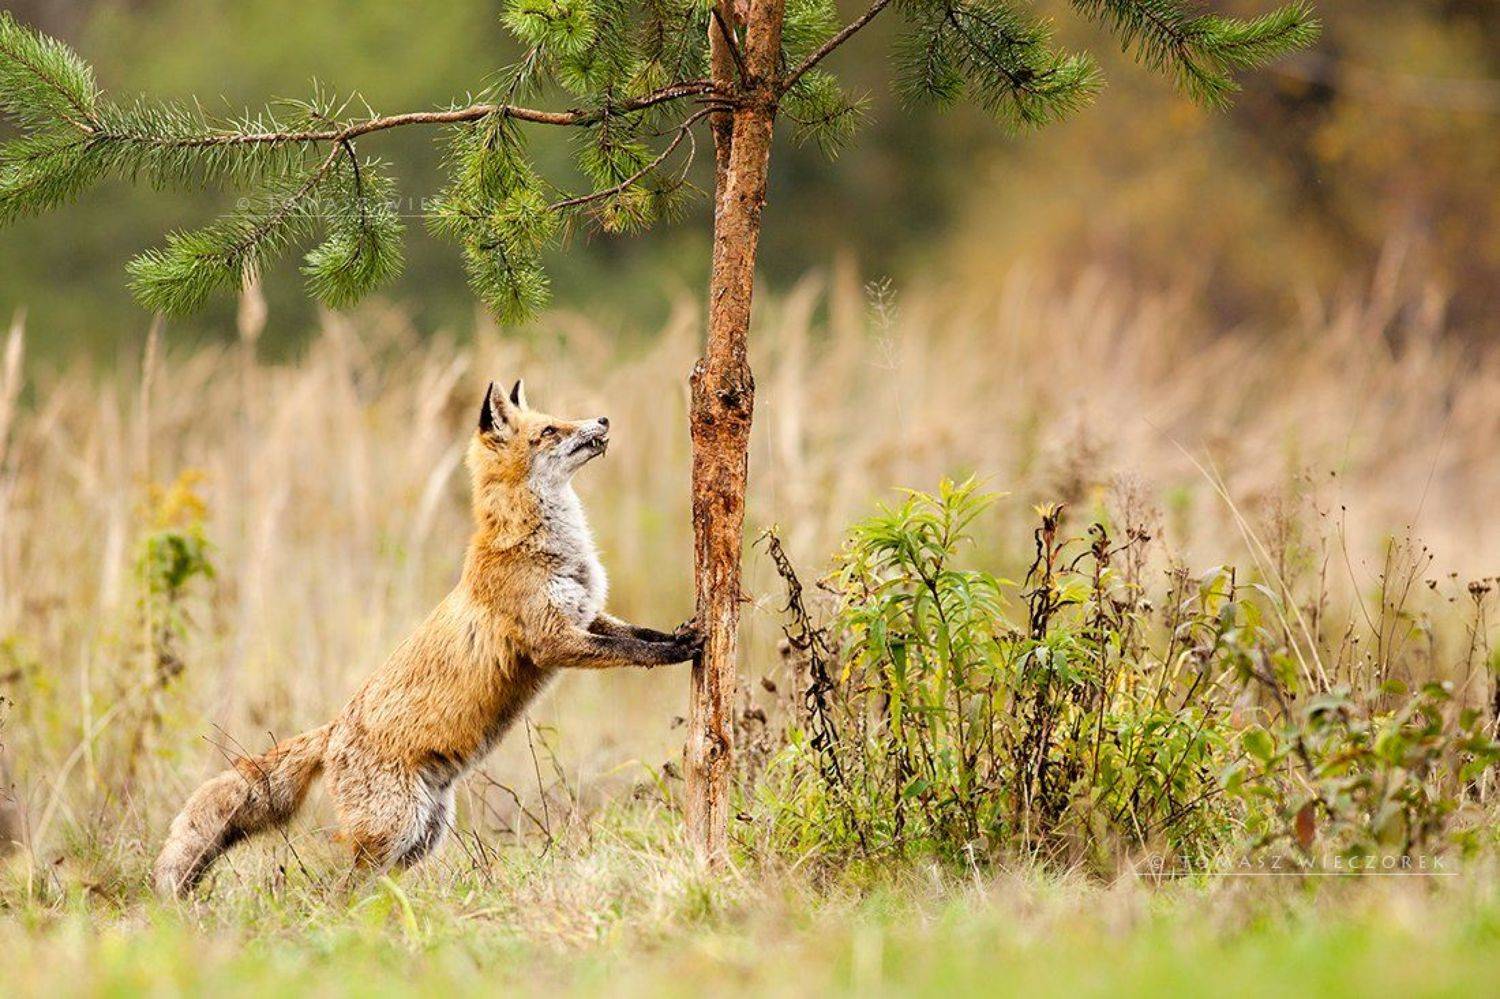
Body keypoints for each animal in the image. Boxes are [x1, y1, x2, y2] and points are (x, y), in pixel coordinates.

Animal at [152, 379, 701, 897]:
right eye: (549, 430)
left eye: (558, 418)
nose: (602, 419)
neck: (535, 542)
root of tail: (332, 731)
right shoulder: (552, 639)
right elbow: (632, 651)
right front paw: (682, 650)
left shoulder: (587, 616)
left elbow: (639, 633)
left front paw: (685, 632)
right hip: (395, 829)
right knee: (336, 892)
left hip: (423, 835)